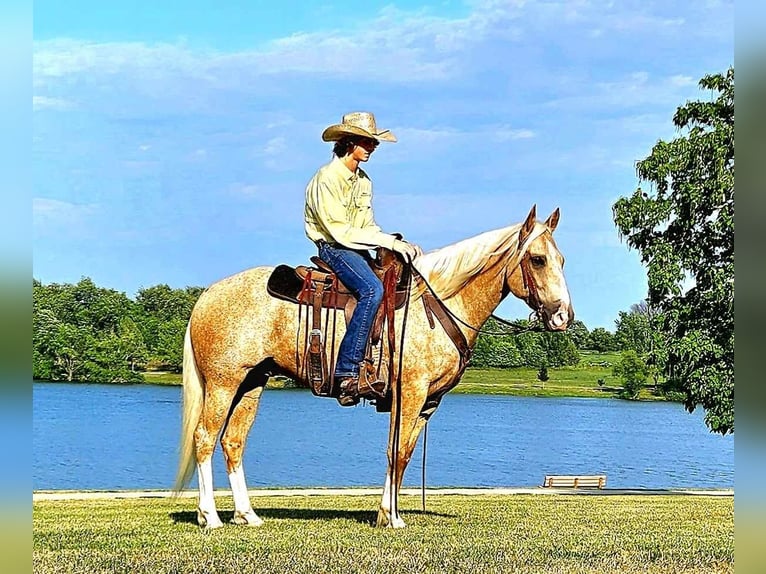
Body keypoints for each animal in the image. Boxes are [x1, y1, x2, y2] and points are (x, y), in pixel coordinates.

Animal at [172, 206, 568, 532]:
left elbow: (402, 452)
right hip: (223, 382)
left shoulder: (427, 403)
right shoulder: (410, 393)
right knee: (204, 439)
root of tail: (206, 297)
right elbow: (398, 452)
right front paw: (391, 517)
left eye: (561, 259)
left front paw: (386, 513)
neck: (439, 305)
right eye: (537, 259)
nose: (563, 315)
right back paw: (210, 517)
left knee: (232, 442)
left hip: (252, 382)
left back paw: (246, 515)